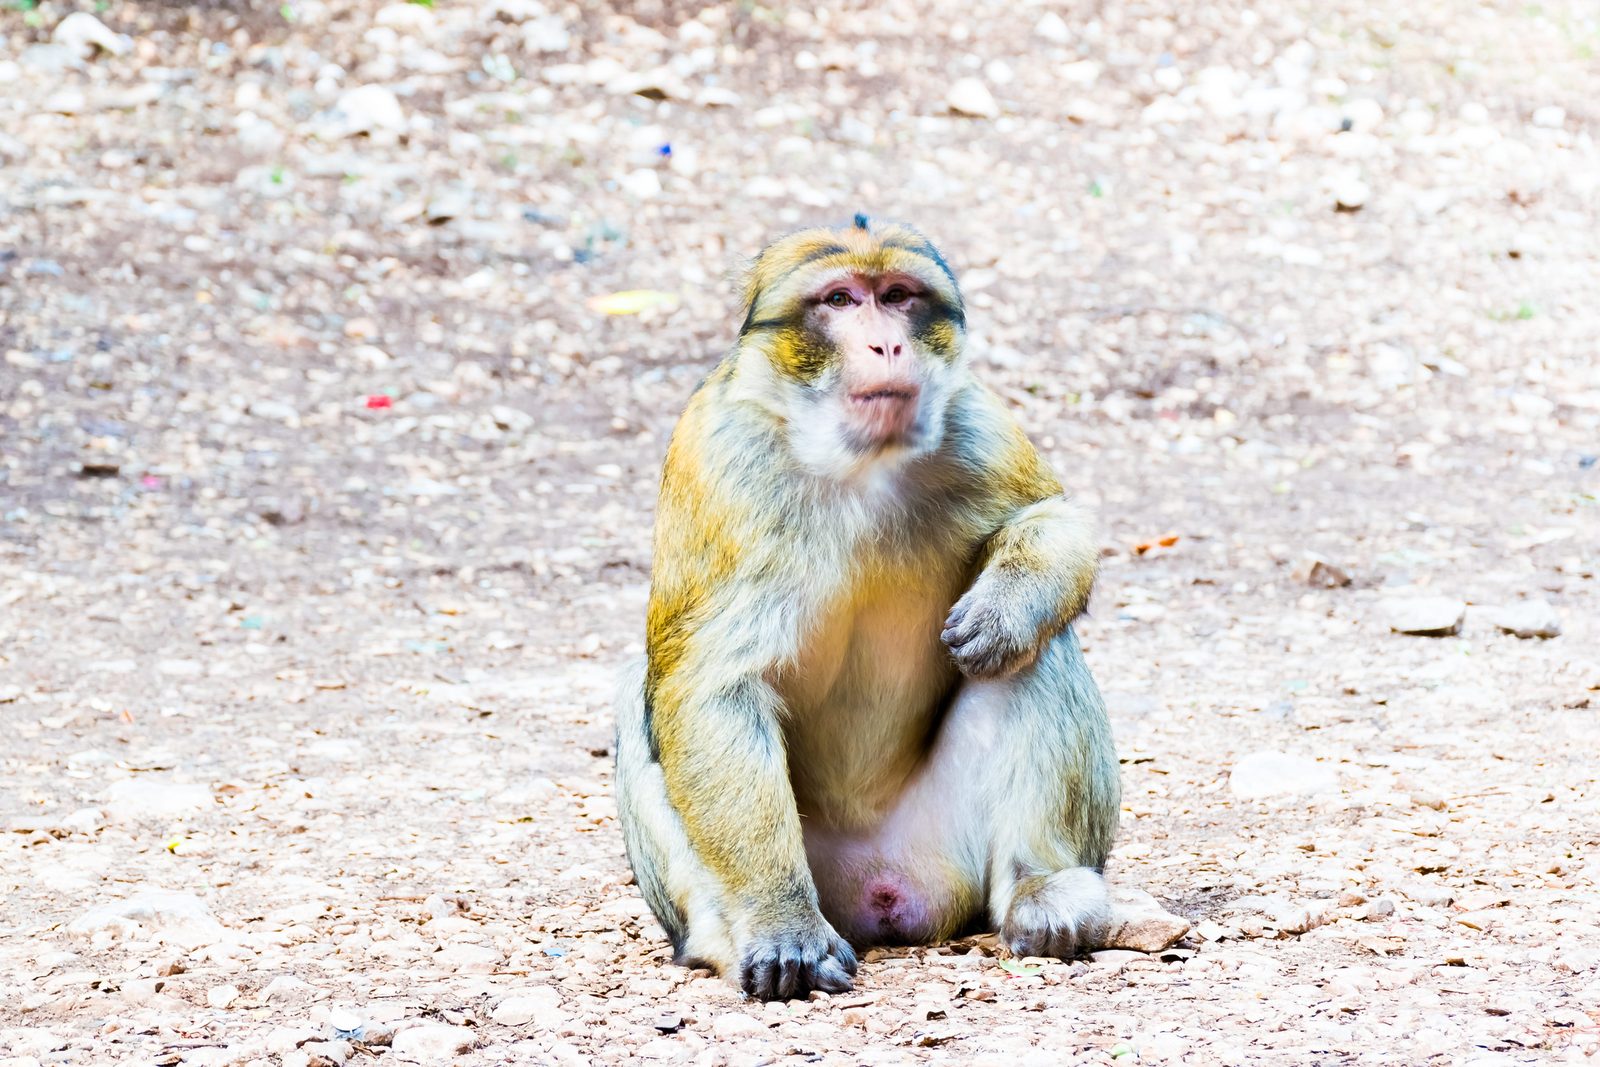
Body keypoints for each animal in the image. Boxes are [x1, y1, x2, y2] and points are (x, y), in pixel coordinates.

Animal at [615, 214, 1119, 1001]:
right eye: (841, 299)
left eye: (899, 296)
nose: (887, 343)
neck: (855, 460)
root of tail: (882, 892)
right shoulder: (718, 454)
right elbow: (710, 685)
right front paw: (780, 920)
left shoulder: (973, 413)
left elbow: (1050, 517)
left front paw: (1007, 606)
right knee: (639, 695)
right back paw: (728, 933)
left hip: (944, 852)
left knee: (1038, 649)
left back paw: (1042, 891)